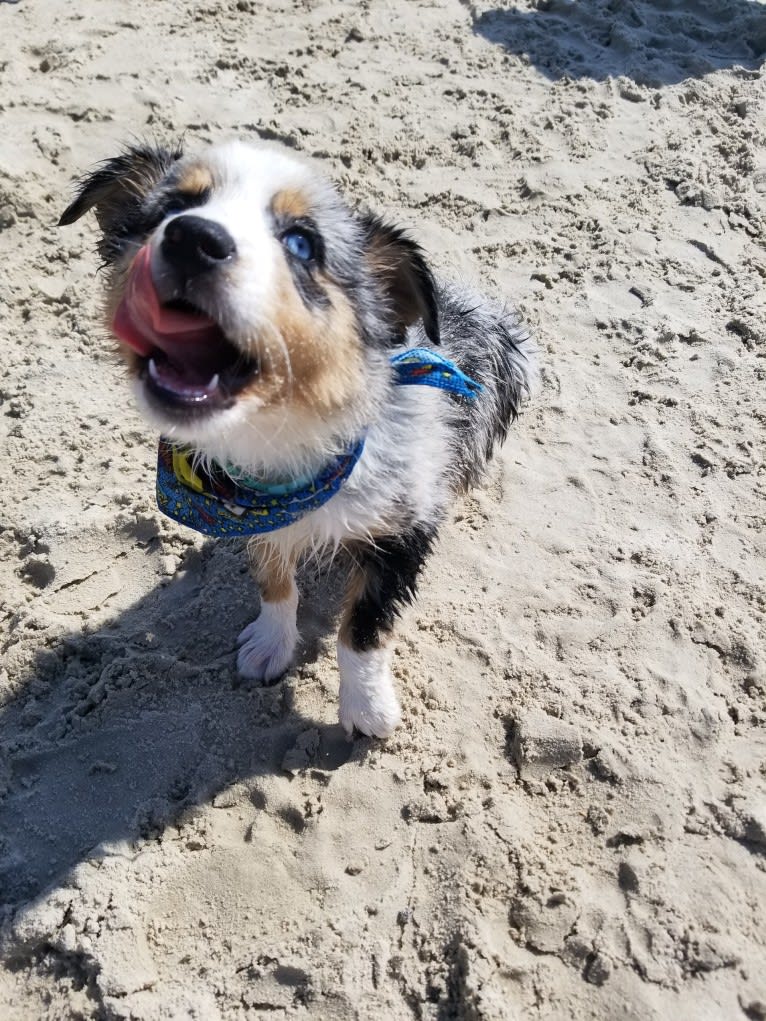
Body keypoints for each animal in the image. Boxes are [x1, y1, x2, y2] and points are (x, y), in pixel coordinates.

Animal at [60, 139, 535, 739]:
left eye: (302, 242)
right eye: (173, 207)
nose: (193, 238)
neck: (287, 435)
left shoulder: (408, 524)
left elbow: (365, 626)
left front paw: (367, 706)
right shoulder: (249, 513)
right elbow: (273, 579)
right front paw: (270, 643)